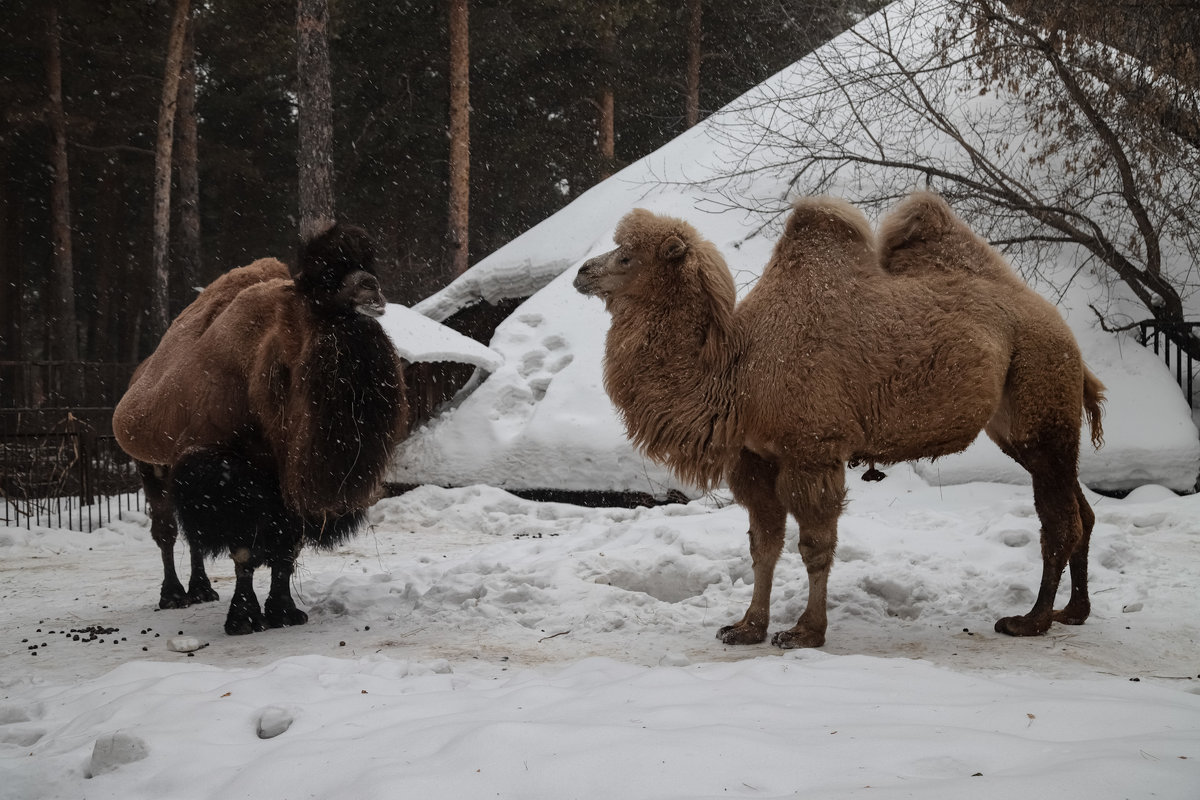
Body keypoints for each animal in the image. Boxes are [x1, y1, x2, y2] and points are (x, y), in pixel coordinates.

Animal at [571, 194, 1104, 652]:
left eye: (628, 257)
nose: (581, 272)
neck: (739, 372)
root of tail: (1064, 332)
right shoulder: (755, 458)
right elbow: (763, 545)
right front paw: (746, 627)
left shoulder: (812, 449)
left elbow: (814, 545)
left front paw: (805, 632)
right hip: (1019, 424)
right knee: (1079, 506)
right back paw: (1073, 612)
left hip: (1041, 387)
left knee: (1059, 518)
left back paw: (1030, 620)